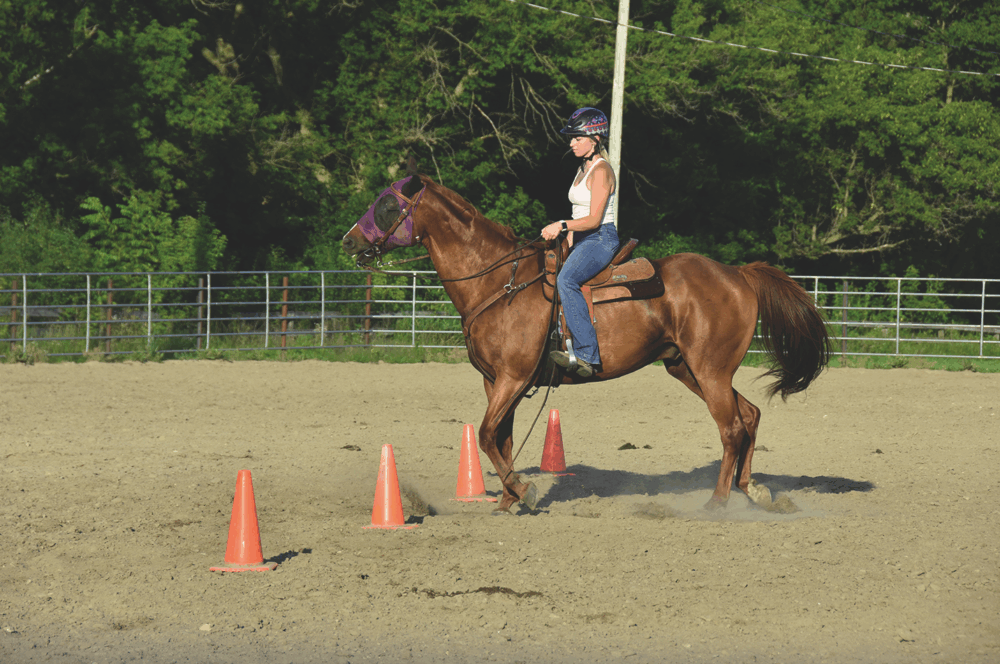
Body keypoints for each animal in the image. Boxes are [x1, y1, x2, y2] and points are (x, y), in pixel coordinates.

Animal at [342, 168, 831, 514]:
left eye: (387, 205)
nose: (348, 241)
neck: (499, 283)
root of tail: (739, 274)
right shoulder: (496, 380)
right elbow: (500, 438)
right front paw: (507, 499)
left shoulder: (513, 377)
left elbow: (484, 434)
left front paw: (523, 490)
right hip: (688, 367)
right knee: (749, 415)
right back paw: (753, 491)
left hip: (710, 369)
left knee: (731, 427)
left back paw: (717, 502)